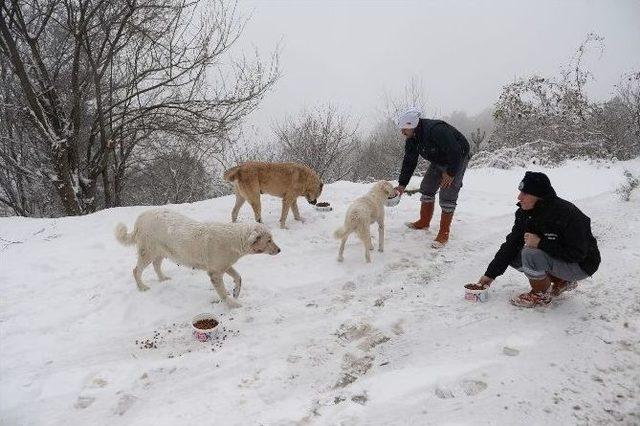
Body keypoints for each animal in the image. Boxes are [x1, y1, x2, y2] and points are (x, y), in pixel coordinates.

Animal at [115, 209, 280, 306]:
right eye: (269, 240)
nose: (279, 250)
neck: (235, 239)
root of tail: (141, 217)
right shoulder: (215, 273)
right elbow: (222, 292)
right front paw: (232, 304)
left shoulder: (224, 266)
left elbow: (238, 277)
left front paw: (235, 292)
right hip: (148, 252)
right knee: (136, 270)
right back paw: (142, 287)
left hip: (162, 251)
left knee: (156, 265)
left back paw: (163, 279)